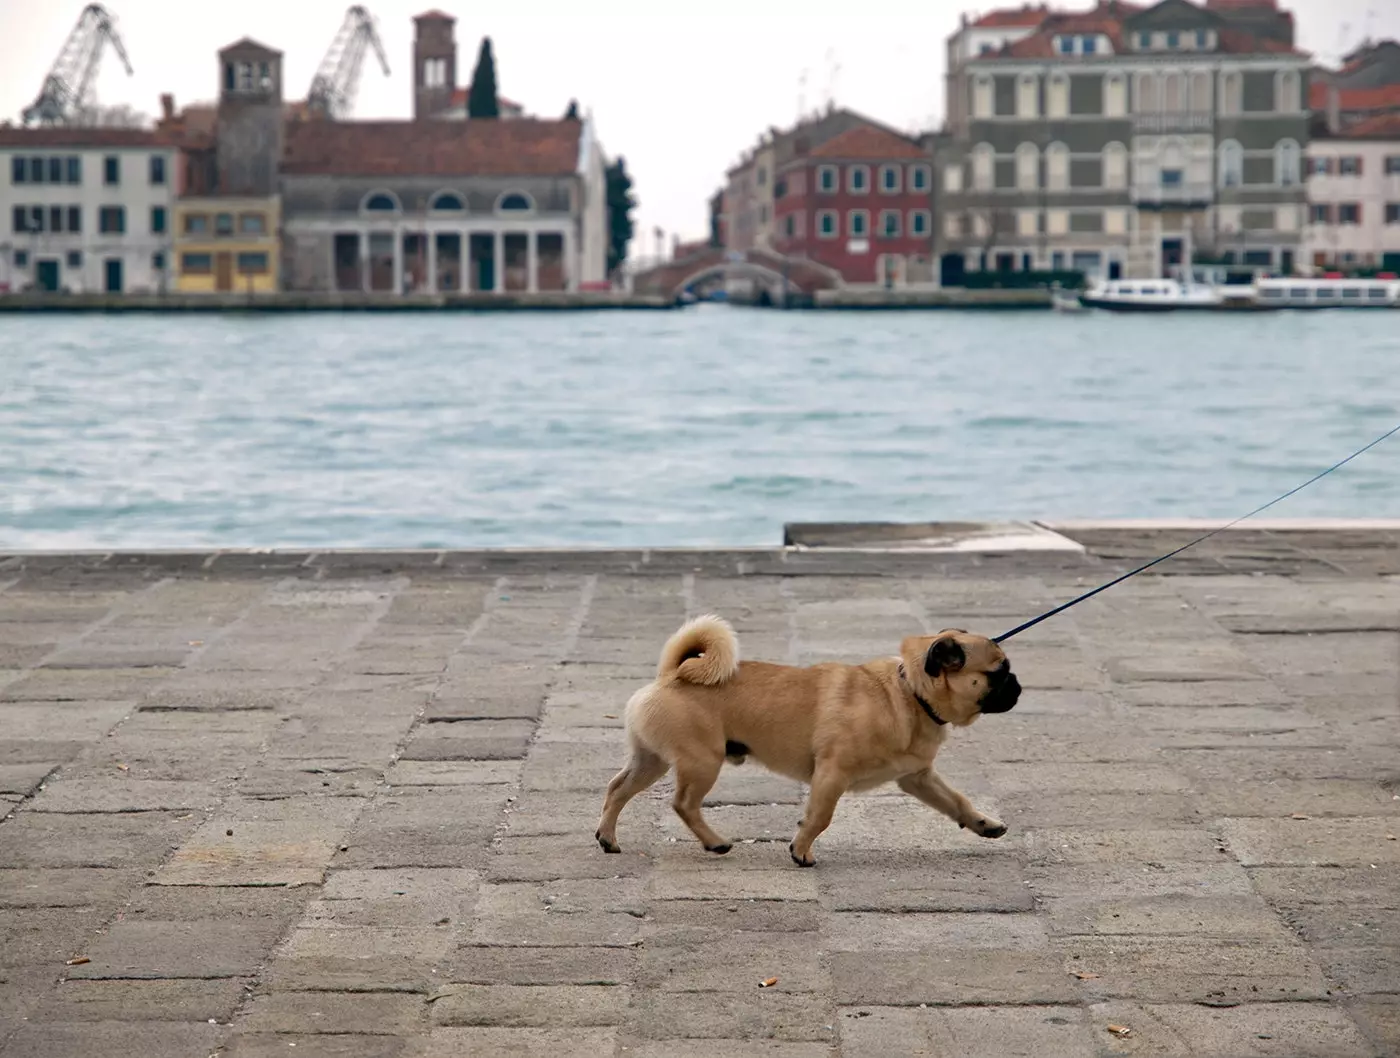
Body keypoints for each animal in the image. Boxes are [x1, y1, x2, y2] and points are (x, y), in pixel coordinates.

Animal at [590, 612, 1019, 867]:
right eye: (999, 672)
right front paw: (801, 851)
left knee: (617, 789)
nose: (1017, 685)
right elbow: (819, 817)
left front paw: (984, 823)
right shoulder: (831, 775)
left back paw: (608, 838)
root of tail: (670, 676)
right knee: (683, 804)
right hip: (701, 762)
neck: (908, 692)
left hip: (651, 761)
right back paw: (715, 843)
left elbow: (956, 801)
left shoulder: (918, 778)